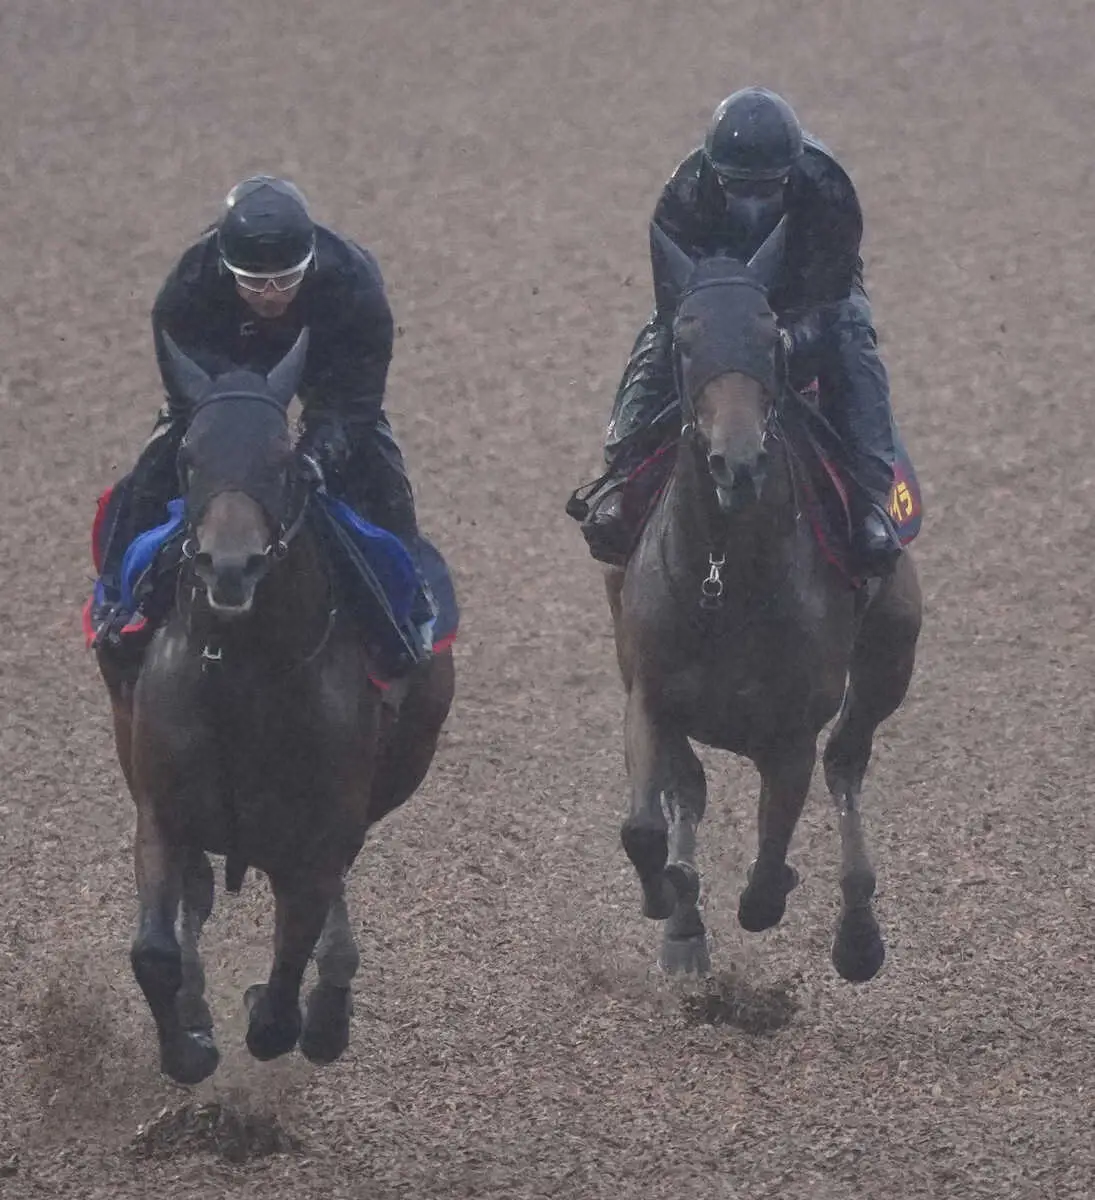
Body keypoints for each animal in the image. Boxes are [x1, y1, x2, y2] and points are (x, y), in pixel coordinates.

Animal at [95, 333, 453, 1084]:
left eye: (285, 461)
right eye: (189, 456)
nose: (230, 566)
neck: (242, 676)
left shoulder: (321, 836)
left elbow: (288, 977)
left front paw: (289, 1014)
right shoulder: (161, 810)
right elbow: (155, 951)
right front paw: (189, 1044)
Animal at [607, 220, 922, 979]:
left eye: (770, 336)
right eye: (684, 340)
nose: (738, 462)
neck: (725, 580)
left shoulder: (790, 732)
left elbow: (768, 869)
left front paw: (775, 889)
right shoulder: (649, 692)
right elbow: (645, 825)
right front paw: (669, 900)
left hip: (892, 651)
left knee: (846, 764)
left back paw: (857, 933)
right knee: (690, 791)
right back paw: (685, 925)